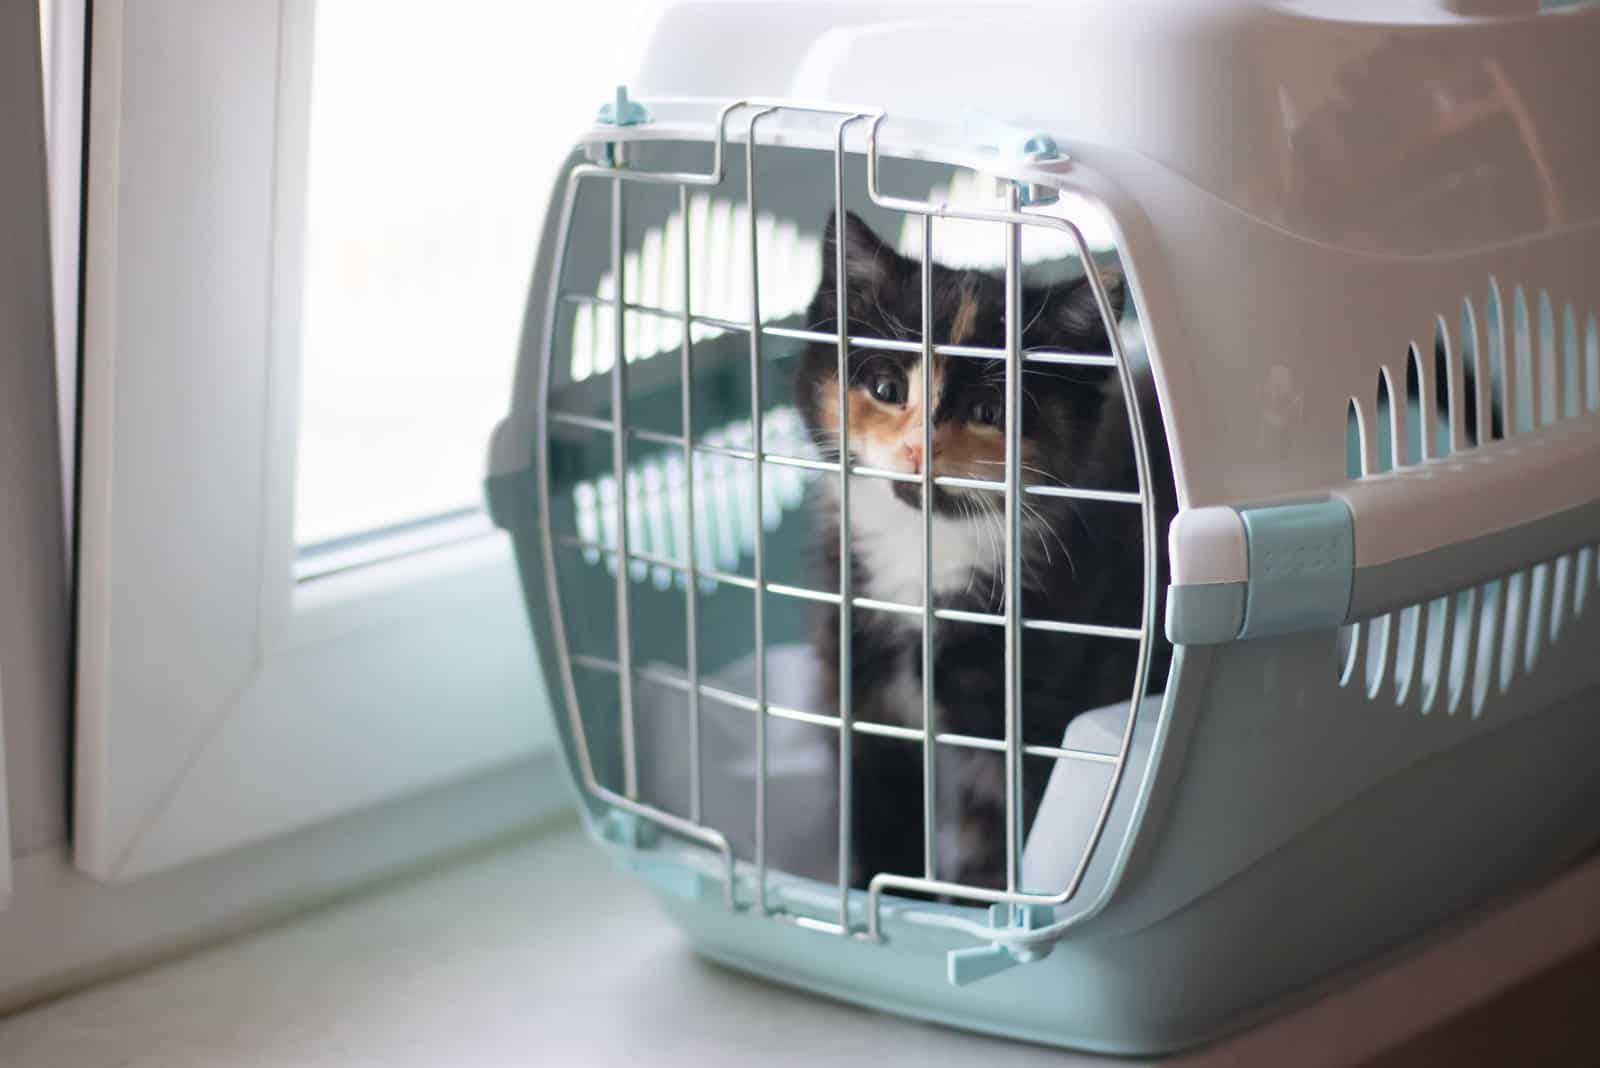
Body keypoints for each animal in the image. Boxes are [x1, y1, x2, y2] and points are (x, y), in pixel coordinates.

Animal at [793, 211, 1171, 895]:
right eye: (886, 387)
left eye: (989, 411)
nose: (919, 450)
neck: (926, 549)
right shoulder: (857, 672)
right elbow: (876, 804)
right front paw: (874, 895)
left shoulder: (1034, 700)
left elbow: (999, 836)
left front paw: (974, 906)